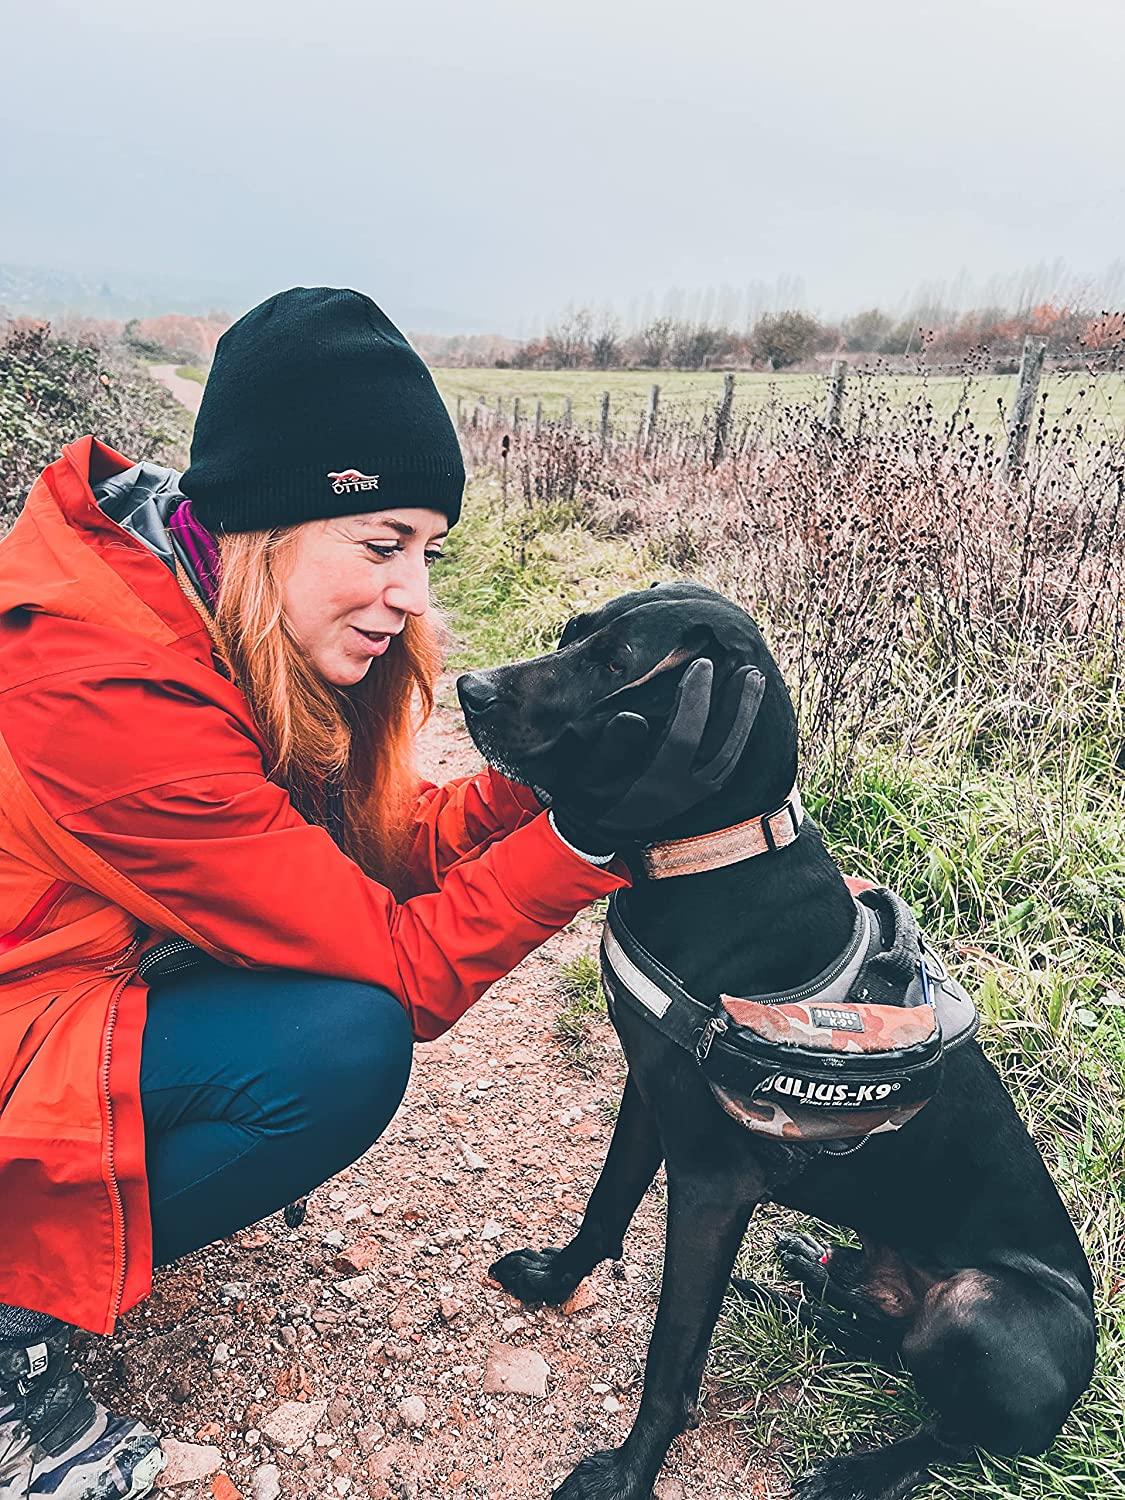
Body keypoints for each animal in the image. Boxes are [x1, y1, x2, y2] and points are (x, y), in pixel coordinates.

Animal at [456, 582, 1092, 1500]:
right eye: (575, 632)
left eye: (614, 666)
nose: (468, 689)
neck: (716, 864)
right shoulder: (648, 1099)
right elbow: (604, 1206)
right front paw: (554, 1280)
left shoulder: (713, 1186)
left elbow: (671, 1356)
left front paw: (628, 1472)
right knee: (880, 1340)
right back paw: (792, 1280)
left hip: (980, 1310)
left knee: (957, 1431)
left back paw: (855, 1467)